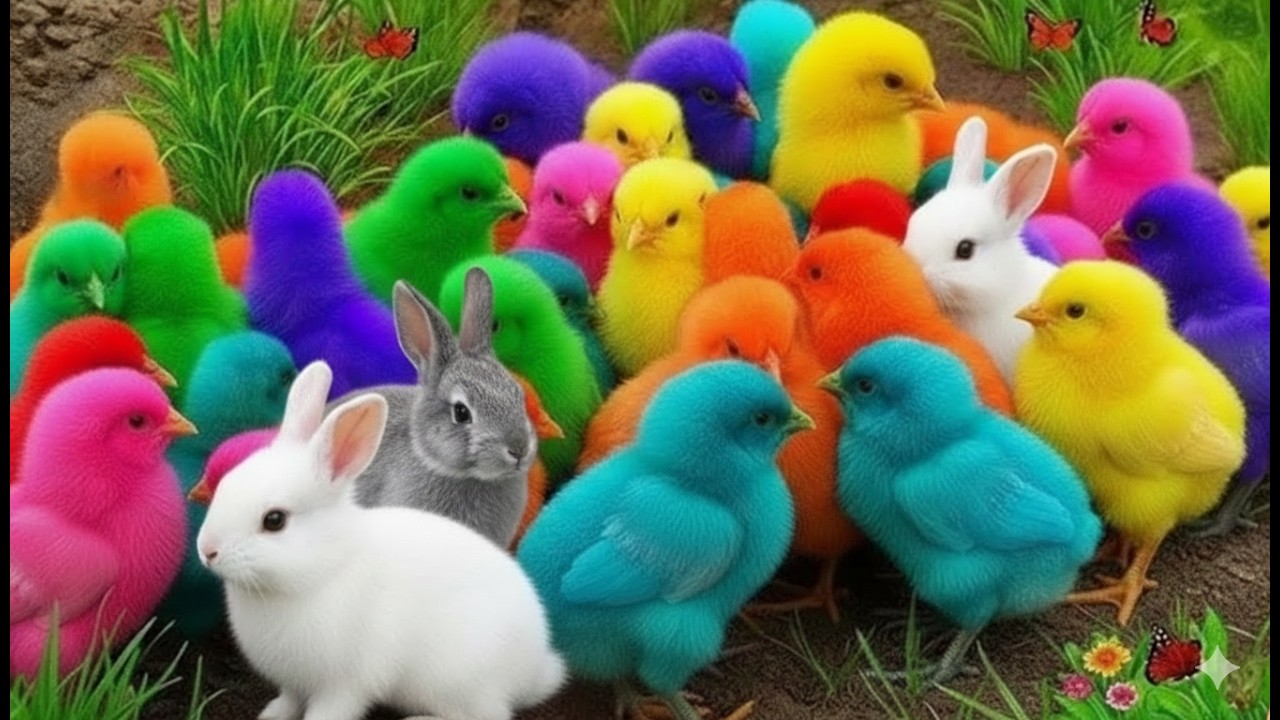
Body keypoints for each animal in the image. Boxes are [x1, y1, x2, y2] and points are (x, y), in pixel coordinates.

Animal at [197, 361, 566, 720]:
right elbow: (288, 700)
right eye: (226, 484)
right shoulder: (294, 683)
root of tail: (534, 669)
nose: (207, 551)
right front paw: (271, 715)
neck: (323, 570)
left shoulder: (345, 685)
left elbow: (329, 711)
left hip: (459, 683)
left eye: (274, 520)